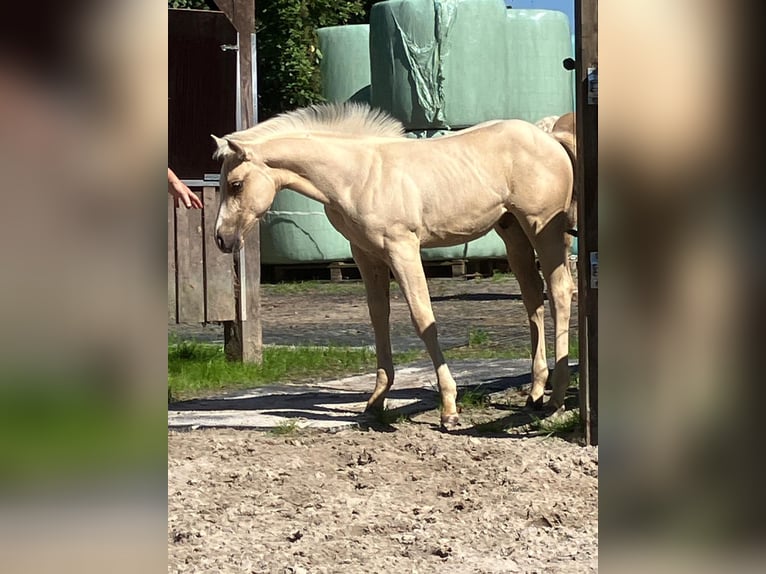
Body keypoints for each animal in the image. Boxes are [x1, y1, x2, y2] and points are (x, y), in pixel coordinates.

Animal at [212, 102, 576, 429]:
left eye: (236, 184)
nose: (221, 239)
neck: (356, 175)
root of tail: (550, 137)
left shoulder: (403, 249)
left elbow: (423, 319)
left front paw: (449, 409)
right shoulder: (366, 254)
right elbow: (379, 318)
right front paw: (375, 402)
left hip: (543, 229)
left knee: (560, 291)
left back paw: (556, 399)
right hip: (513, 233)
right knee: (533, 298)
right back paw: (535, 394)